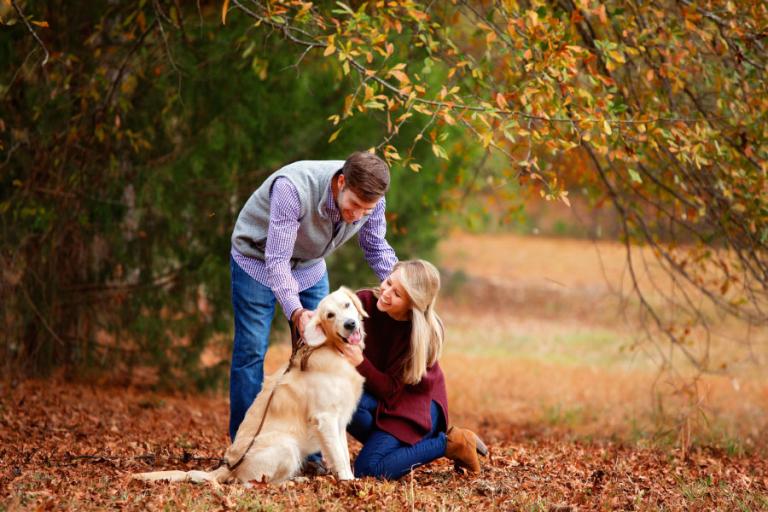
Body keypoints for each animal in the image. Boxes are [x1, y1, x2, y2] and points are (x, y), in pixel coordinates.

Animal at [134, 288, 368, 484]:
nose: (350, 324)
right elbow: (339, 456)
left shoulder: (339, 420)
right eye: (330, 315)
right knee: (256, 483)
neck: (333, 350)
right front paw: (348, 481)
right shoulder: (325, 418)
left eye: (347, 305)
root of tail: (228, 466)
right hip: (286, 445)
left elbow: (343, 452)